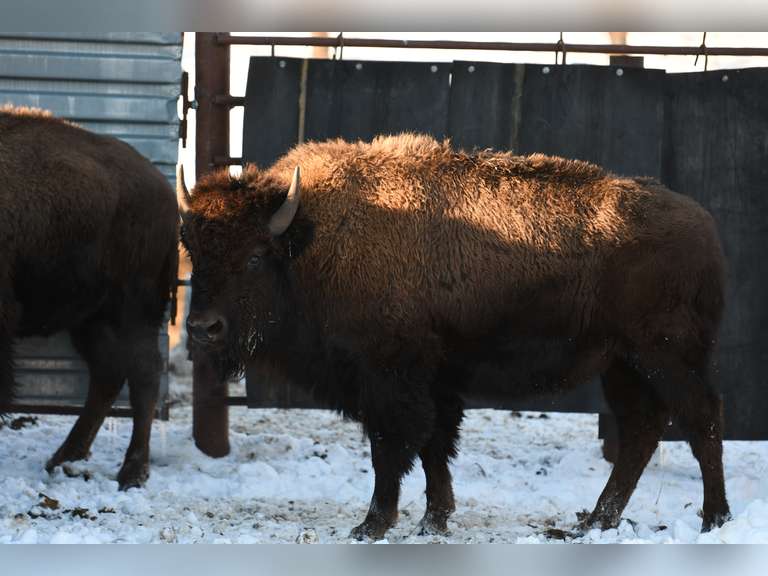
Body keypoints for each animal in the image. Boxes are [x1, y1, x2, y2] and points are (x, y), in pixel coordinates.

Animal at [0, 105, 178, 489]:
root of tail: (164, 191)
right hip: (91, 318)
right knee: (108, 374)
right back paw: (64, 457)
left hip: (132, 310)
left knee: (143, 373)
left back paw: (131, 473)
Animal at [177, 133, 730, 540]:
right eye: (195, 251)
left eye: (254, 256)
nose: (203, 328)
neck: (311, 242)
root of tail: (705, 227)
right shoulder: (434, 384)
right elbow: (434, 448)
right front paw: (433, 521)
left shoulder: (389, 381)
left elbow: (392, 449)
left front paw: (371, 525)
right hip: (623, 365)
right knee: (641, 432)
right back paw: (595, 521)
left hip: (666, 357)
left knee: (700, 420)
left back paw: (713, 519)